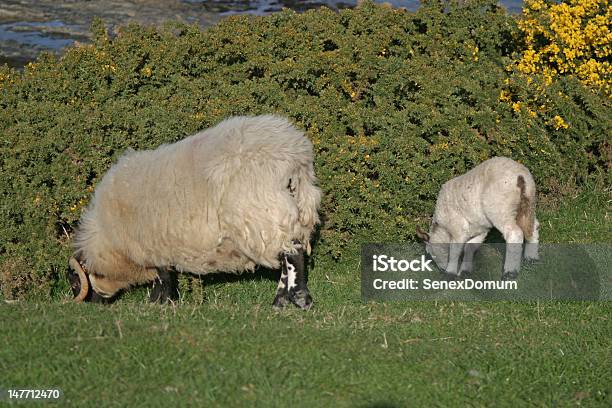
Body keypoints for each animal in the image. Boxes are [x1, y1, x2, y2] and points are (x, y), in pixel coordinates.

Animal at [68, 115, 320, 310]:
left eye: (75, 283)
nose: (93, 305)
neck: (107, 238)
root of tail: (294, 157)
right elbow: (164, 275)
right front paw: (160, 302)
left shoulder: (153, 243)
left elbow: (163, 276)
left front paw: (159, 302)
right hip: (297, 208)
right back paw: (280, 302)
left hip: (265, 213)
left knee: (293, 254)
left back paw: (299, 299)